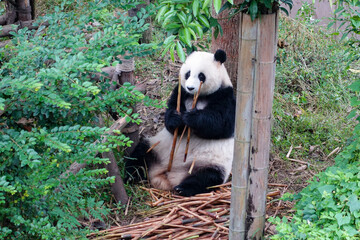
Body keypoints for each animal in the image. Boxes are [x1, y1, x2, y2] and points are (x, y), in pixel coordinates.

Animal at [126, 49, 236, 197]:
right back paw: (130, 175)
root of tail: (168, 177)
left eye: (201, 76)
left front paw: (192, 117)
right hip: (157, 147)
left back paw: (183, 188)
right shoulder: (180, 92)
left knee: (207, 177)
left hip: (211, 163)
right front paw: (177, 119)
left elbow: (221, 123)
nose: (190, 87)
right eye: (187, 73)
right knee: (140, 155)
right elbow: (170, 117)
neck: (198, 97)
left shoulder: (225, 96)